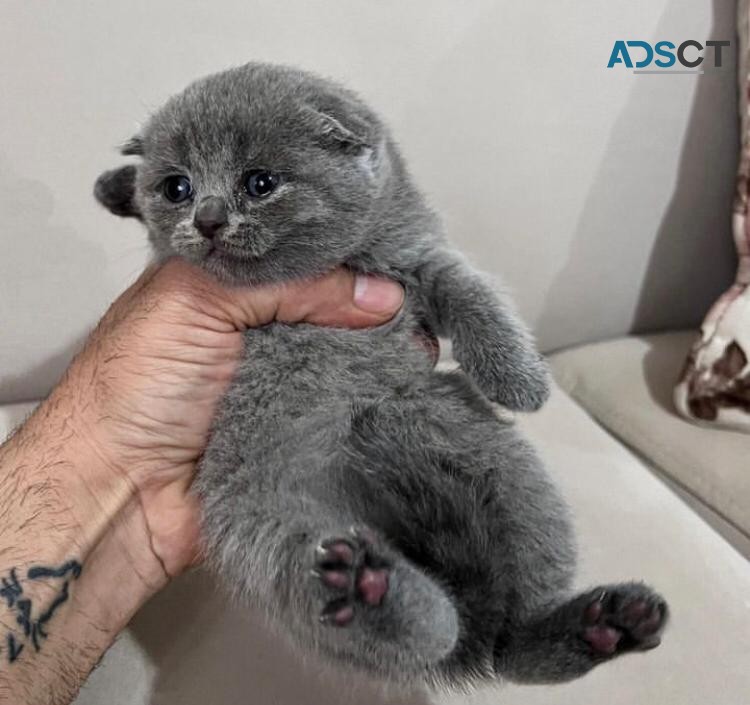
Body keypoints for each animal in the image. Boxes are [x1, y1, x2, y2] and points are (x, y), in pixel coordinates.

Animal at [95, 63, 668, 692]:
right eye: (178, 187)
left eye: (260, 182)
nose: (208, 219)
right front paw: (116, 188)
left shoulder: (419, 261)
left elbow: (470, 291)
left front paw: (520, 381)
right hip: (259, 529)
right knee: (429, 634)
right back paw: (371, 588)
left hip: (505, 471)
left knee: (507, 643)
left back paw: (599, 625)